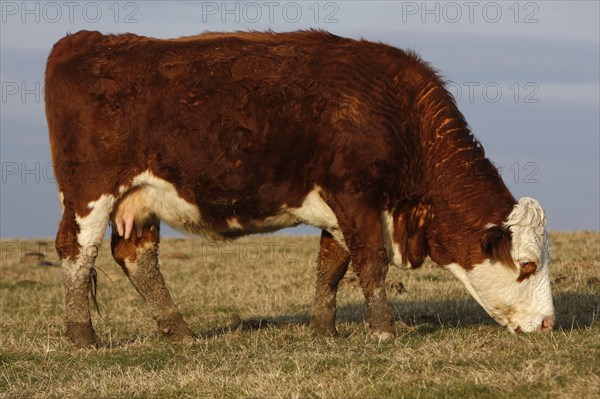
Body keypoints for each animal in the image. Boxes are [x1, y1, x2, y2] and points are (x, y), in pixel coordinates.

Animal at [44, 29, 556, 348]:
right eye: (527, 265)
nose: (550, 324)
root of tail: (86, 40)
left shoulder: (339, 207)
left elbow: (332, 266)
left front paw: (324, 331)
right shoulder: (356, 195)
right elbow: (370, 261)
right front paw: (384, 331)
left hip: (140, 199)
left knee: (136, 256)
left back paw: (179, 332)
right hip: (90, 192)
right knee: (76, 251)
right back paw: (82, 337)